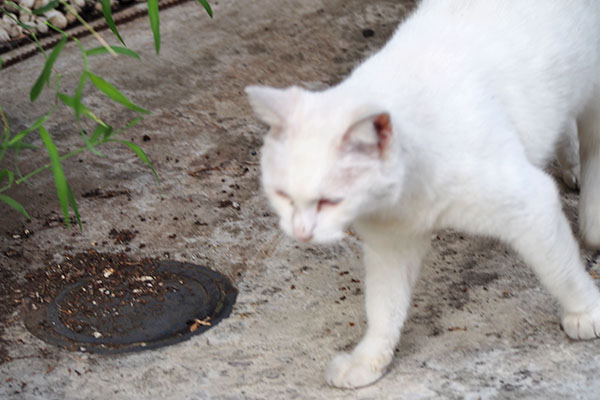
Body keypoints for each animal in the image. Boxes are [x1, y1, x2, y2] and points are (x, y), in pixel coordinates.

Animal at [245, 0, 600, 388]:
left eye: (329, 201)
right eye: (282, 195)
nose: (301, 233)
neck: (403, 195)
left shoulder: (529, 204)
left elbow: (561, 272)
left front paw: (586, 311)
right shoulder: (390, 246)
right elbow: (383, 308)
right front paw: (368, 360)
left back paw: (593, 217)